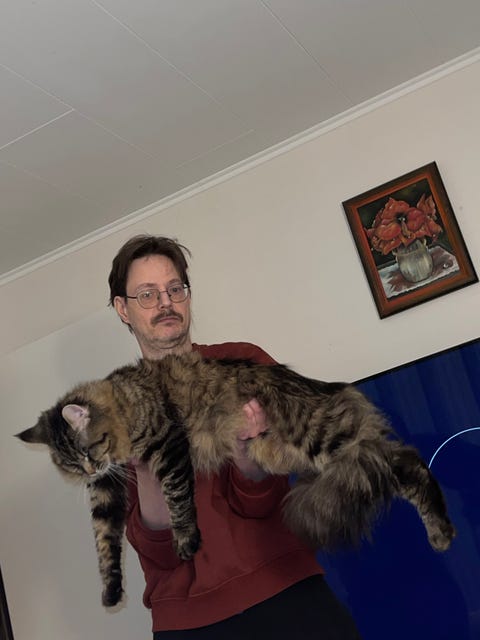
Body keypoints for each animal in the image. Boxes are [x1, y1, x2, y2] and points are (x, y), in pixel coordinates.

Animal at [16, 351, 455, 607]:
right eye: (73, 466)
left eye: (88, 451)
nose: (89, 469)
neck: (125, 403)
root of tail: (327, 390)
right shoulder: (108, 491)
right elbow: (105, 543)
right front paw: (111, 591)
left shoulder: (168, 447)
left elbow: (177, 500)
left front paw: (186, 542)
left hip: (327, 441)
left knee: (408, 460)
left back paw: (441, 533)